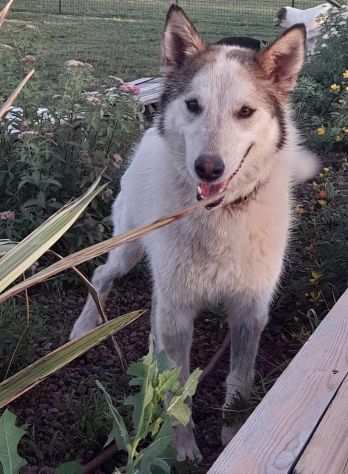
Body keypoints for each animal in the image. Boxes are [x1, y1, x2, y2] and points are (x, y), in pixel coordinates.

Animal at [70, 3, 318, 462]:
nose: (208, 168)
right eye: (193, 105)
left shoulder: (249, 313)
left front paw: (234, 432)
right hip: (128, 250)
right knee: (100, 274)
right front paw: (181, 447)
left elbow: (238, 386)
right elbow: (176, 394)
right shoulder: (179, 313)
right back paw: (84, 327)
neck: (221, 219)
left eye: (245, 112)